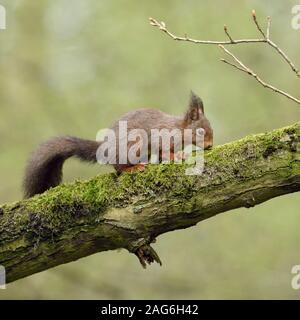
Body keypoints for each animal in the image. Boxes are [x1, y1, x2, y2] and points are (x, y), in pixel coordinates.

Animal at [22, 91, 213, 199]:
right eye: (200, 132)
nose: (210, 146)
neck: (178, 129)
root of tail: (105, 149)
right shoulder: (161, 136)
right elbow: (165, 151)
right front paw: (177, 155)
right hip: (131, 148)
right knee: (118, 168)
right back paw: (133, 168)